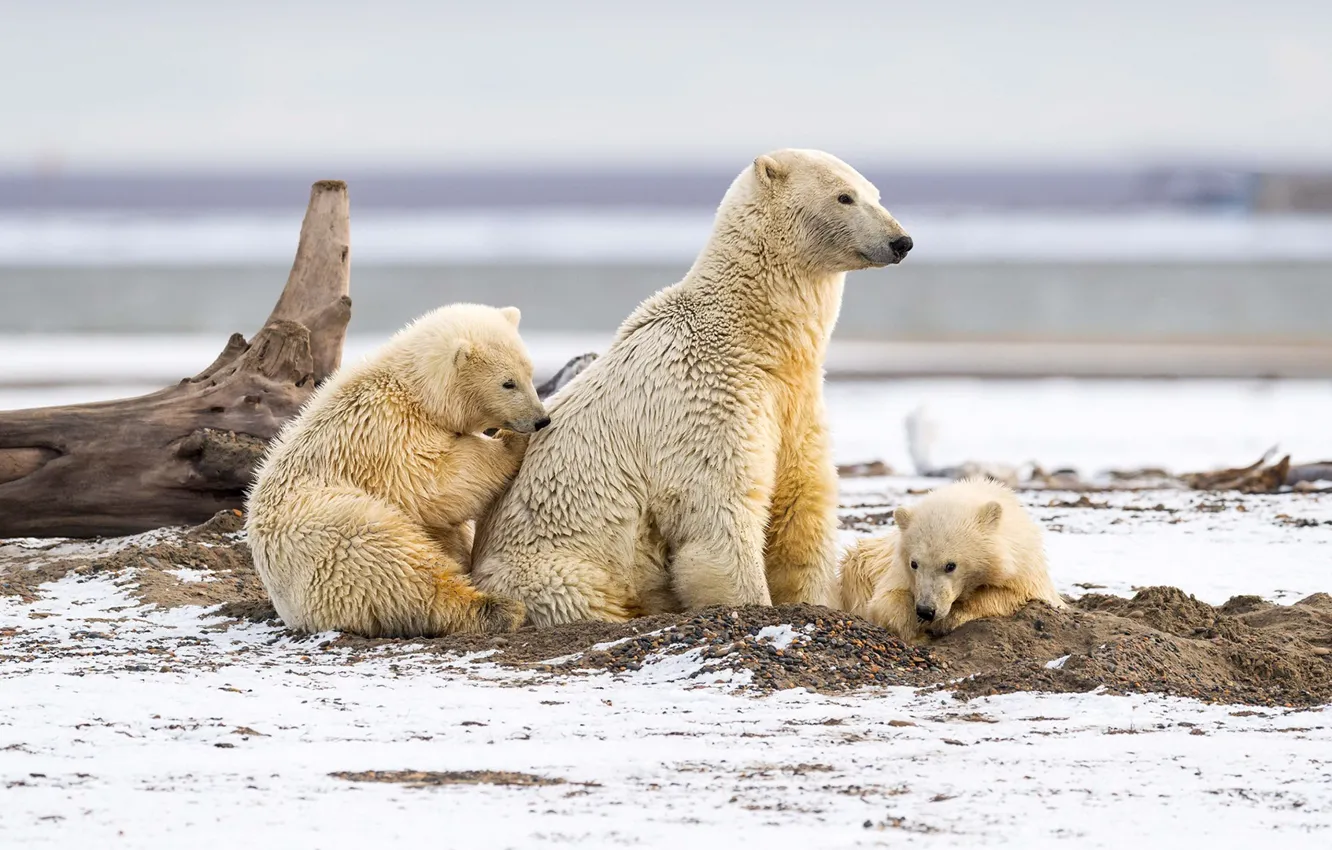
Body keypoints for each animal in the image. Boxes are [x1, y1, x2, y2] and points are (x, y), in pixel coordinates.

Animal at [244, 303, 549, 637]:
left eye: (530, 372)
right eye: (508, 383)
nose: (540, 419)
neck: (414, 391)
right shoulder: (384, 432)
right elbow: (436, 482)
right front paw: (510, 441)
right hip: (332, 533)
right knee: (398, 567)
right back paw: (497, 608)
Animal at [471, 149, 913, 626]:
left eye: (874, 193)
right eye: (844, 196)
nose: (901, 241)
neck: (752, 339)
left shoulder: (795, 401)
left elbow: (800, 503)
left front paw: (815, 599)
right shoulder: (706, 403)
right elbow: (719, 516)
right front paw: (753, 601)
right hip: (553, 567)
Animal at [839, 477, 1065, 642]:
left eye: (950, 565)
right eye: (914, 563)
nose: (926, 610)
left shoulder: (1025, 570)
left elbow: (1009, 594)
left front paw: (949, 620)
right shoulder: (897, 571)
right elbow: (885, 599)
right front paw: (914, 628)